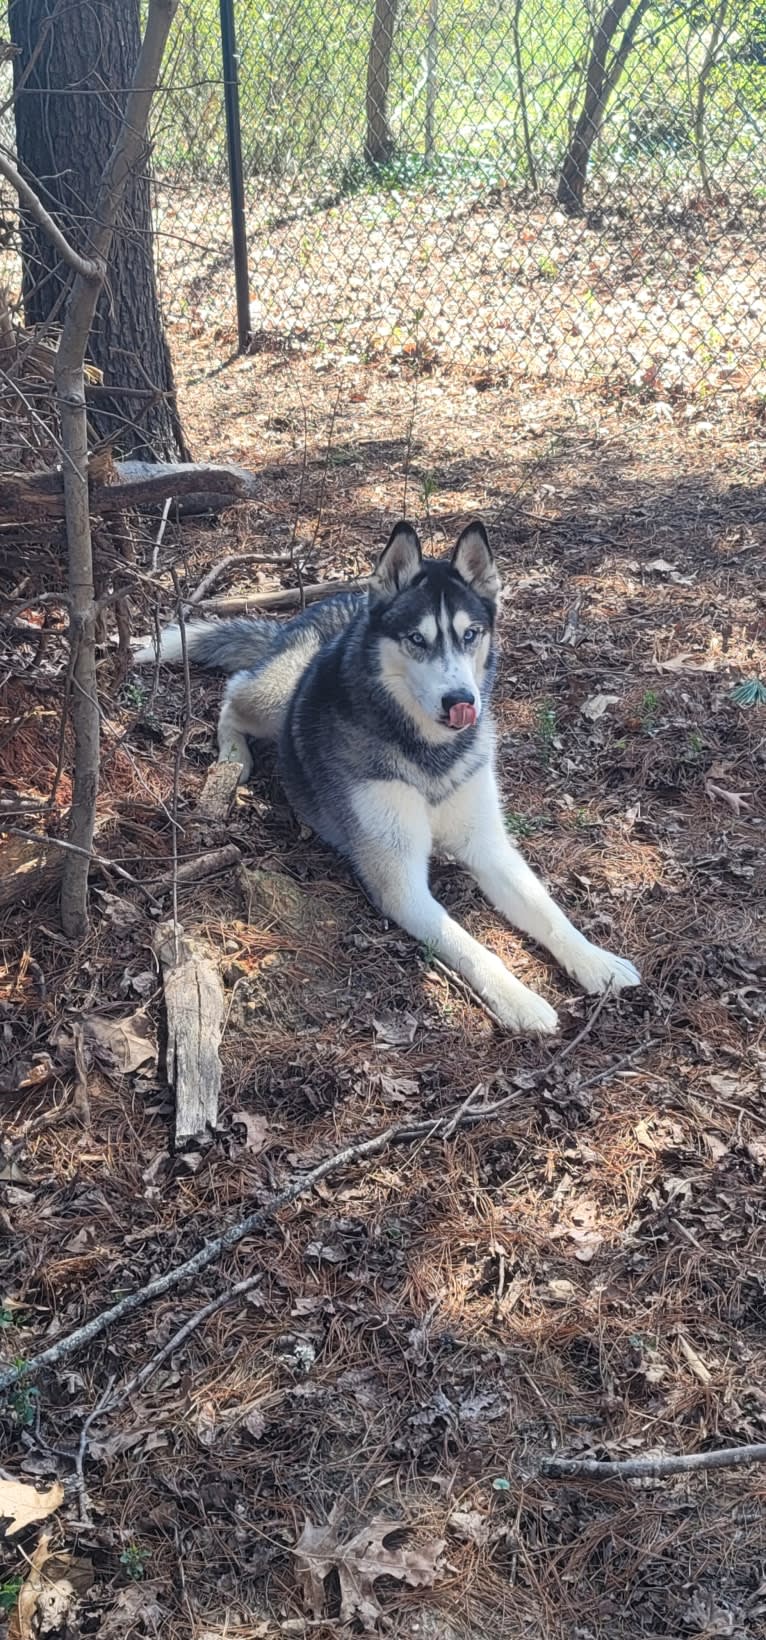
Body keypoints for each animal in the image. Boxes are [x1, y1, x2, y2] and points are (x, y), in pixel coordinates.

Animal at [137, 521, 642, 1036]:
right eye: (416, 639)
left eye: (471, 634)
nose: (461, 700)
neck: (429, 751)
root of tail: (333, 605)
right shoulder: (400, 882)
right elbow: (470, 945)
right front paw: (519, 999)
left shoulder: (489, 845)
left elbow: (547, 910)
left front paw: (596, 962)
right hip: (275, 699)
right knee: (234, 691)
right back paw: (234, 756)